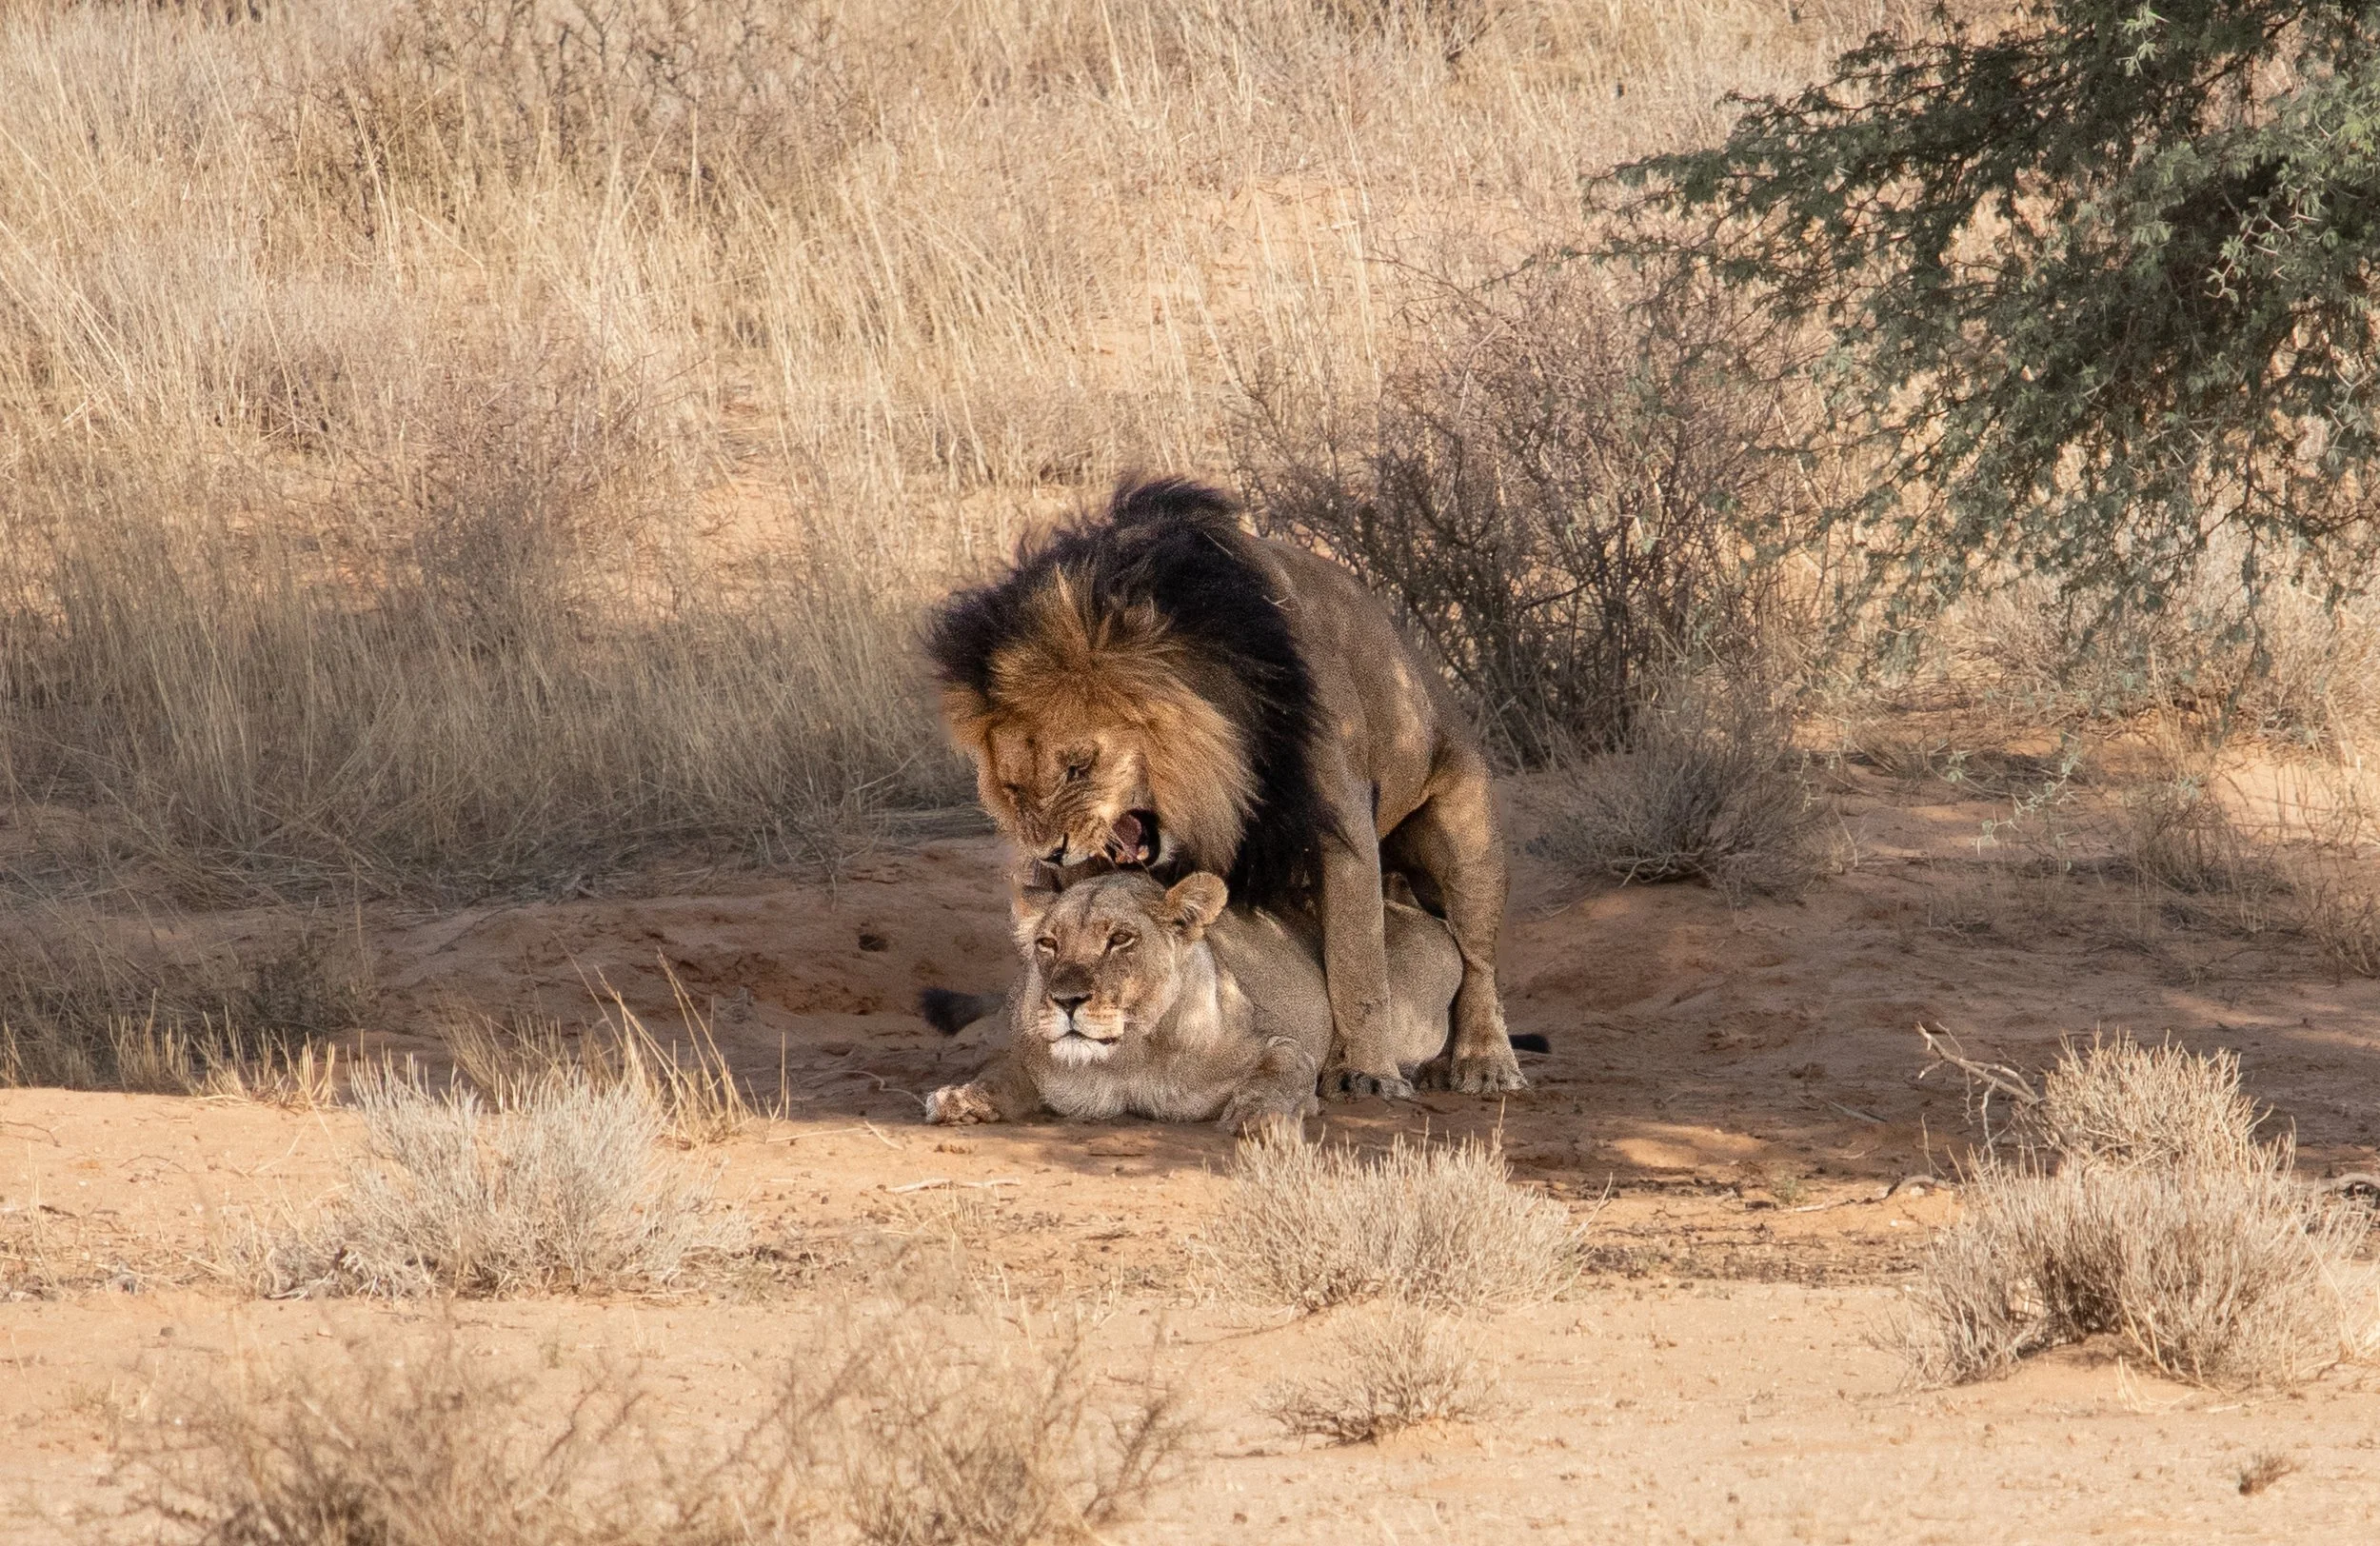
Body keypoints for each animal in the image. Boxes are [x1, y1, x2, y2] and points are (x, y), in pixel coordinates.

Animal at [922, 867, 1465, 1134]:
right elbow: (998, 1073)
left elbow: (1281, 1070)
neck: (1127, 1057)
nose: (1066, 1000)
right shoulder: (1027, 1057)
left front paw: (1260, 1114)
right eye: (1048, 944)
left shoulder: (1275, 1040)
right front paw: (961, 1097)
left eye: (1120, 939)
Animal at [925, 477, 1522, 1099]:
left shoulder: (1343, 828)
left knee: (1476, 960)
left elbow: (1358, 965)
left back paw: (1481, 1061)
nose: (1052, 852)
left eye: (1078, 766)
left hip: (1467, 836)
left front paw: (1367, 1073)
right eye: (1014, 787)